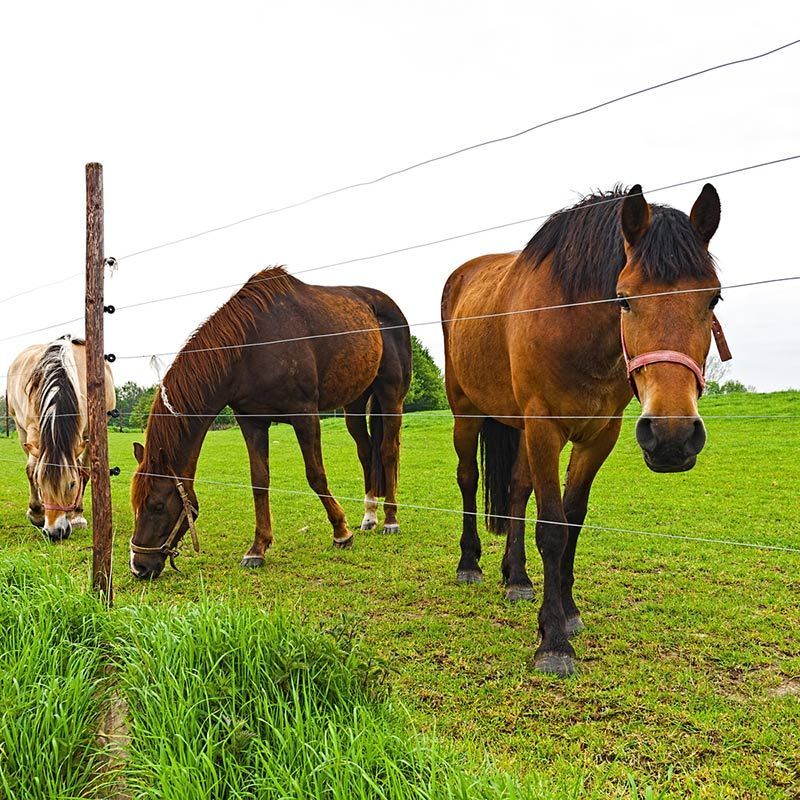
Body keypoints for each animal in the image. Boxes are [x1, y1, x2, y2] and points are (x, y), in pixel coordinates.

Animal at [7, 336, 116, 541]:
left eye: (71, 484)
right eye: (41, 483)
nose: (54, 532)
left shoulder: (88, 435)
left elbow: (84, 471)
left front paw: (77, 516)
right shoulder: (33, 428)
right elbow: (31, 469)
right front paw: (36, 514)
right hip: (19, 427)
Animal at [130, 266, 411, 579]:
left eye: (157, 506)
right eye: (135, 504)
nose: (139, 566)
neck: (251, 346)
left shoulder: (305, 416)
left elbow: (316, 475)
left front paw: (341, 532)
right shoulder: (252, 422)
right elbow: (259, 481)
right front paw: (257, 548)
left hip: (391, 396)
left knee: (388, 451)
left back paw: (390, 519)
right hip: (355, 403)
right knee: (366, 452)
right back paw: (369, 515)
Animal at [441, 184, 728, 676]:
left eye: (712, 300)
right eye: (624, 298)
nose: (672, 436)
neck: (572, 325)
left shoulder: (598, 436)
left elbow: (572, 519)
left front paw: (567, 612)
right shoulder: (544, 430)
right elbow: (552, 529)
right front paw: (553, 642)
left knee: (516, 491)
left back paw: (516, 577)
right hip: (467, 413)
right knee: (468, 480)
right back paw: (470, 564)